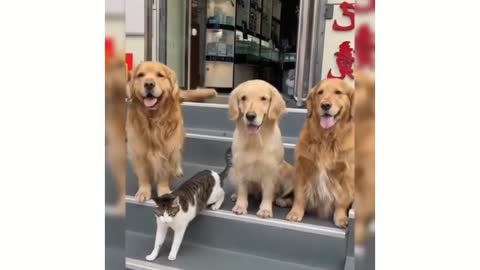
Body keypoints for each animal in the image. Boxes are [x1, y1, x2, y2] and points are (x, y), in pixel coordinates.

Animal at [228, 79, 294, 218]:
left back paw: (281, 201)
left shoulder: (270, 171)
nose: (250, 116)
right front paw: (240, 206)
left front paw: (265, 210)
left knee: (277, 195)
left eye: (263, 98)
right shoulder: (240, 167)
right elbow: (242, 190)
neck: (255, 140)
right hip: (232, 171)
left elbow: (268, 193)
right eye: (243, 98)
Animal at [286, 78, 354, 228]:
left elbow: (342, 199)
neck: (326, 138)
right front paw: (295, 212)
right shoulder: (302, 167)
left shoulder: (347, 173)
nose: (325, 105)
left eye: (338, 92)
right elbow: (299, 195)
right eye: (320, 92)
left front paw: (341, 217)